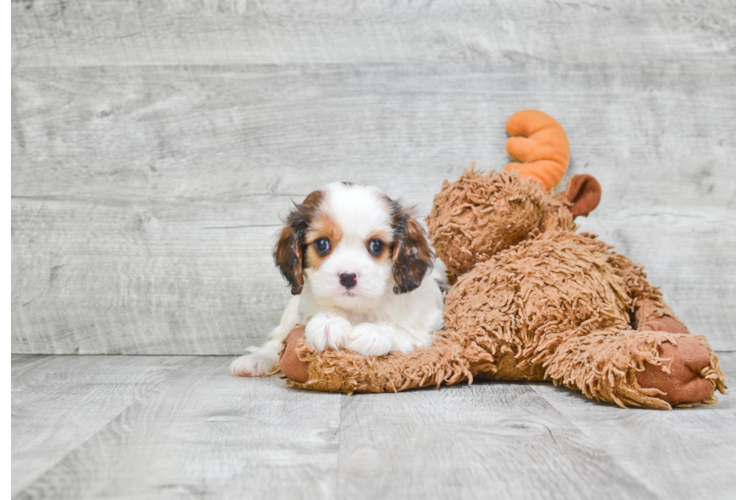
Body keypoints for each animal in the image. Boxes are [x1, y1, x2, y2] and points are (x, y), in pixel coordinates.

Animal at [231, 182, 444, 376]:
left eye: (376, 245)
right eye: (322, 244)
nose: (348, 277)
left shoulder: (427, 329)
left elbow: (405, 332)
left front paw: (374, 333)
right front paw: (328, 321)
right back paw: (256, 359)